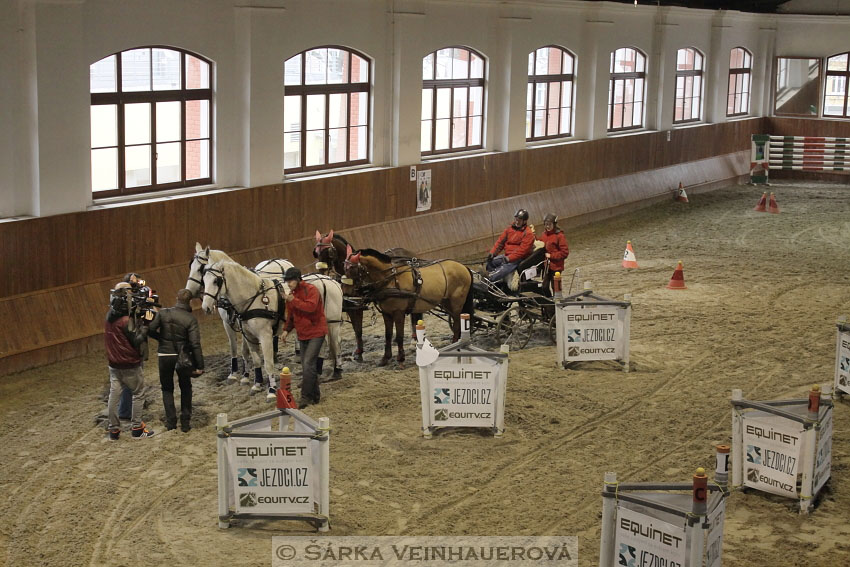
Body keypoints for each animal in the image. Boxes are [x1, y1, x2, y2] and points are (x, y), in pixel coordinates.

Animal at [200, 258, 342, 400]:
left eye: (216, 281)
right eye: (204, 280)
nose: (206, 307)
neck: (254, 298)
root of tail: (331, 280)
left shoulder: (265, 335)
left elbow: (268, 364)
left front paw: (272, 390)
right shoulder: (249, 336)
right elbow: (257, 361)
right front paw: (257, 385)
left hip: (333, 323)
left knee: (336, 345)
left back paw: (337, 371)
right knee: (322, 347)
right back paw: (318, 372)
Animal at [344, 248, 476, 368]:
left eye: (352, 269)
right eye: (344, 268)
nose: (345, 293)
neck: (390, 280)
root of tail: (464, 267)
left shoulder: (398, 312)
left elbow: (399, 336)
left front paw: (401, 359)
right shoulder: (386, 313)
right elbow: (388, 335)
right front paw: (385, 358)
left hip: (456, 304)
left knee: (457, 324)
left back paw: (454, 346)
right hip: (447, 302)